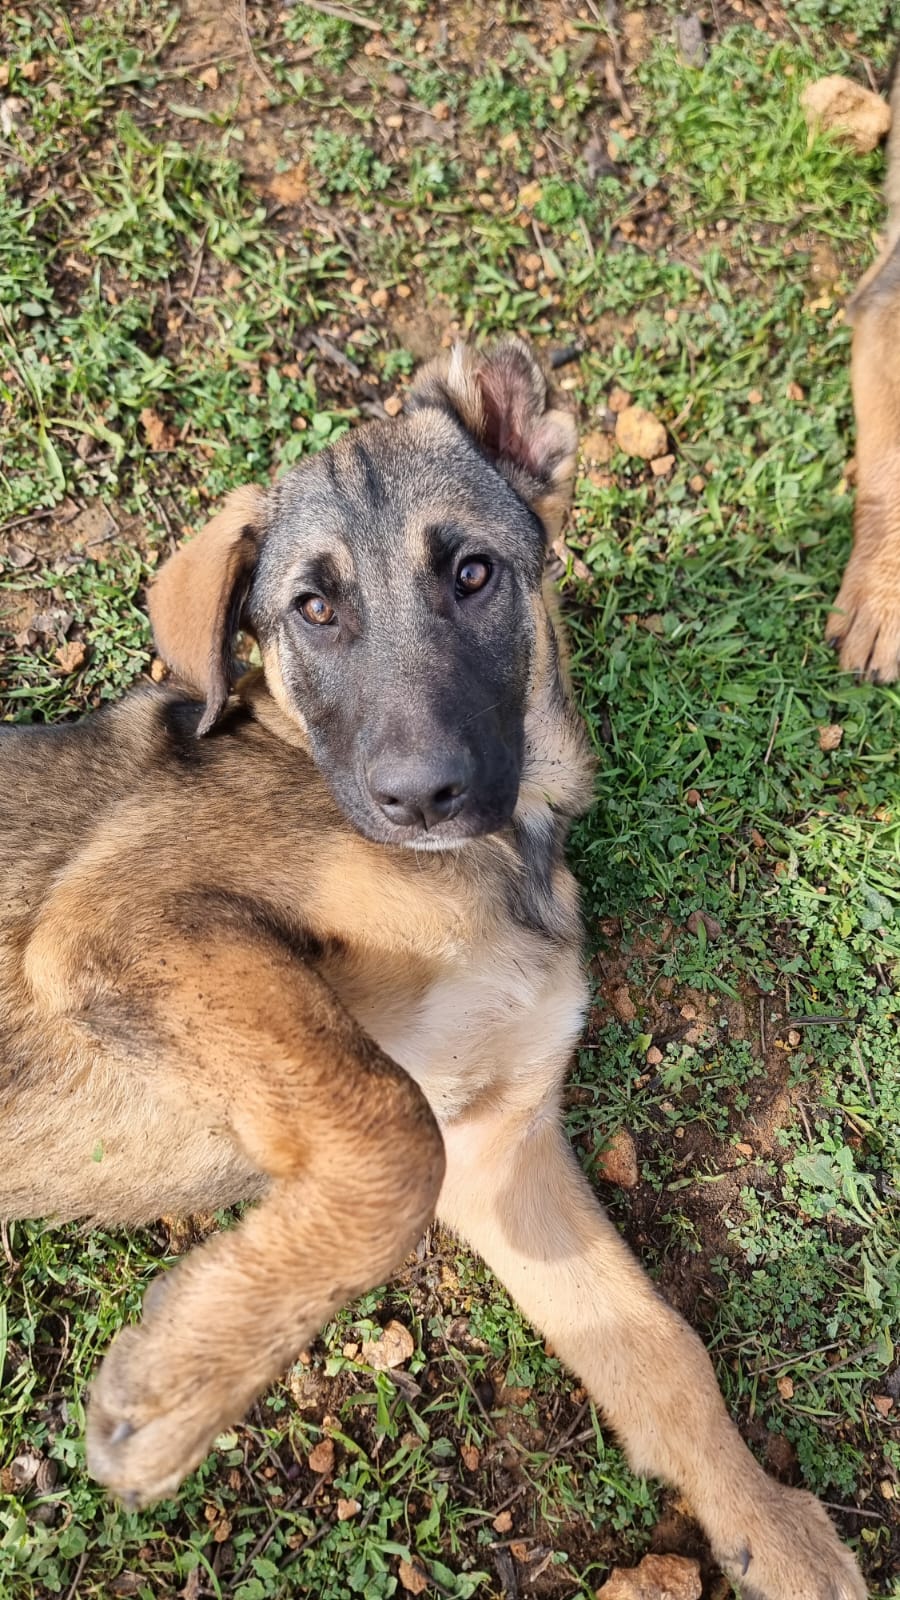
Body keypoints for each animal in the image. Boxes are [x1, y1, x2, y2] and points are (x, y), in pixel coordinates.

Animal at [0, 340, 865, 1599]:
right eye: (313, 608)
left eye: (471, 573)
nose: (420, 797)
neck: (503, 855)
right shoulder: (120, 919)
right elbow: (388, 1126)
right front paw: (185, 1379)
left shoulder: (502, 1144)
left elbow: (657, 1346)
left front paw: (771, 1526)